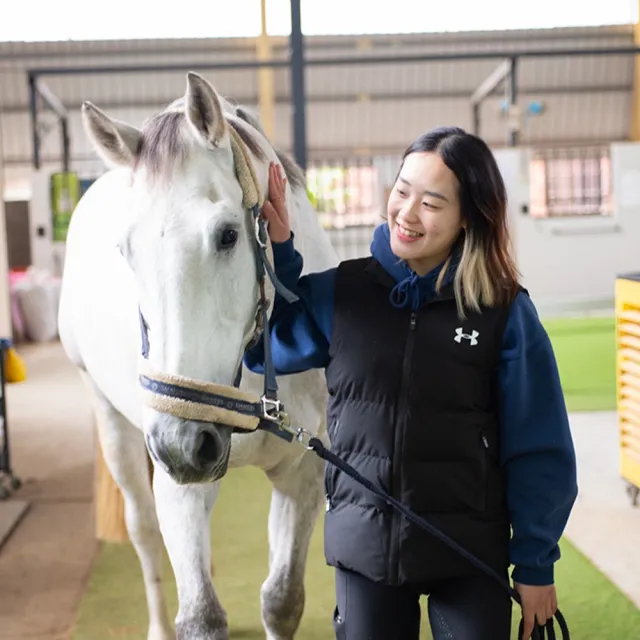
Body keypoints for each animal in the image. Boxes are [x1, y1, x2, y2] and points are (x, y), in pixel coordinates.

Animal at [57, 71, 339, 640]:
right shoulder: (176, 472)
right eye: (125, 251)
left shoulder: (300, 469)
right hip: (113, 422)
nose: (180, 447)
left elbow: (282, 599)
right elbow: (202, 615)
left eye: (228, 235)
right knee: (143, 531)